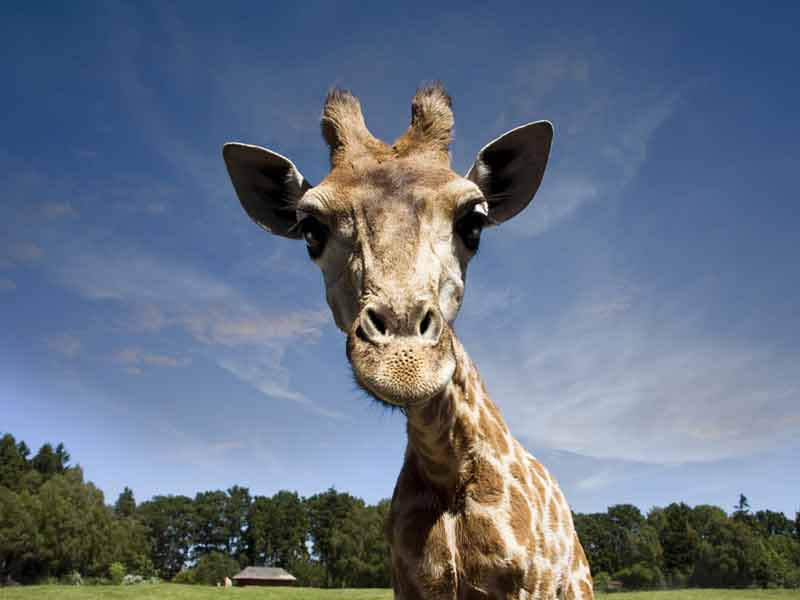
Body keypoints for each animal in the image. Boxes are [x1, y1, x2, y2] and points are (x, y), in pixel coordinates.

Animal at [222, 85, 592, 600]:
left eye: (473, 222)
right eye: (311, 229)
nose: (403, 361)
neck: (448, 473)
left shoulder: (529, 585)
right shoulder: (409, 583)